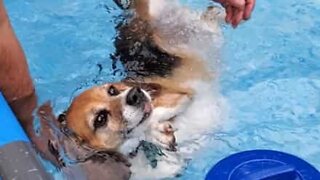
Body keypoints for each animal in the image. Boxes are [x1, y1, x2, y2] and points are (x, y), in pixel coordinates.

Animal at [58, 0, 226, 179]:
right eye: (100, 119)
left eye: (112, 90)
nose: (135, 93)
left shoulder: (179, 96)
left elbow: (150, 119)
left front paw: (155, 132)